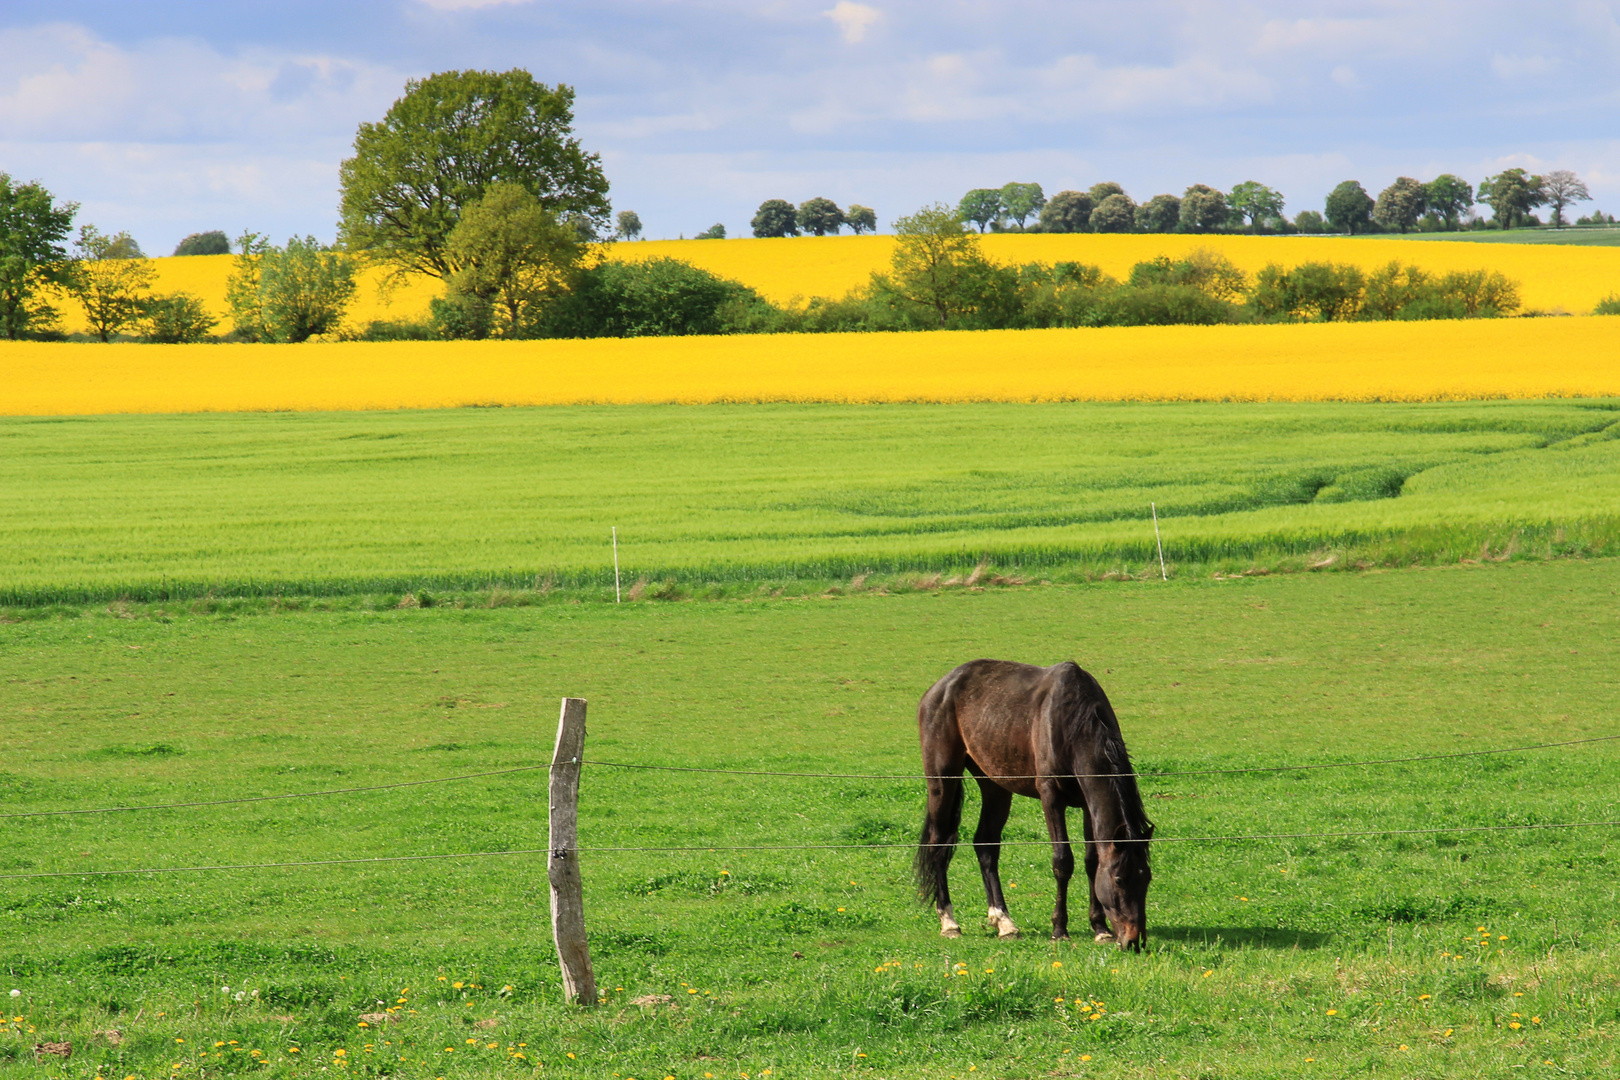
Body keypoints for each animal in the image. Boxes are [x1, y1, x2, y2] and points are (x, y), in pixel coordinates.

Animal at [913, 660, 1153, 952]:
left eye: (1146, 878)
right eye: (1119, 880)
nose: (1133, 940)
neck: (1073, 722)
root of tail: (938, 688)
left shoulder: (1088, 804)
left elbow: (1092, 861)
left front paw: (1100, 928)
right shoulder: (1051, 797)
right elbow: (1063, 861)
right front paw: (1059, 929)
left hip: (995, 785)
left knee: (985, 845)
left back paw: (1004, 922)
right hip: (942, 780)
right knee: (938, 844)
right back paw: (949, 922)